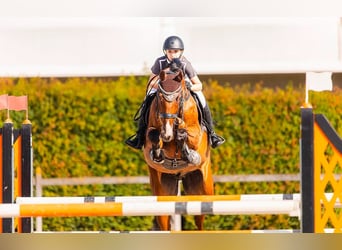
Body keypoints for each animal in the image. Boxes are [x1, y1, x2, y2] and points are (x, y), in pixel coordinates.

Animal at [142, 68, 214, 230]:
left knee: (200, 217)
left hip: (204, 189)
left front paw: (188, 152)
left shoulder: (197, 134)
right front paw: (158, 153)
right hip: (162, 191)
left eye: (178, 98)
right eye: (160, 97)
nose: (167, 134)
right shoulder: (151, 135)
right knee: (164, 221)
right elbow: (153, 135)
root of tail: (180, 176)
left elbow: (185, 135)